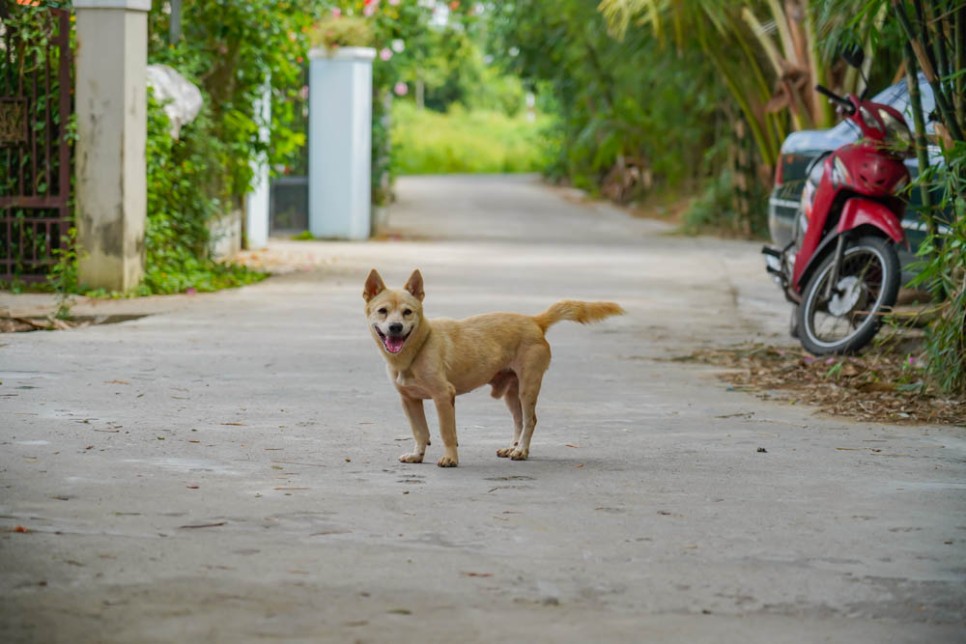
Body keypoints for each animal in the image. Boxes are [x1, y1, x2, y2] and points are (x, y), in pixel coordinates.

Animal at [364, 268, 628, 468]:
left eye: (408, 312)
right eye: (382, 311)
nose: (395, 328)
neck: (417, 348)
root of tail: (535, 321)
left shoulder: (443, 396)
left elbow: (446, 432)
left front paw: (450, 458)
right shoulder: (409, 400)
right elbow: (420, 431)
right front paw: (417, 455)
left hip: (528, 388)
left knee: (530, 421)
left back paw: (521, 451)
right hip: (512, 392)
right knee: (519, 421)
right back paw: (512, 448)